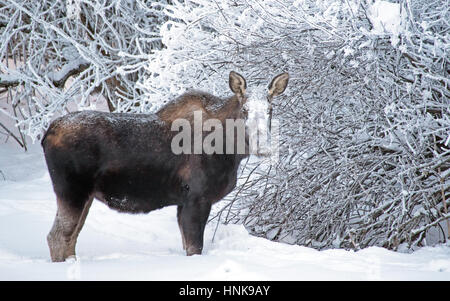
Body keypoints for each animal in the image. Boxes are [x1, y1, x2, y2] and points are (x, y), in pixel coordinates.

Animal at [41, 70, 288, 260]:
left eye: (270, 110)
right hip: (71, 191)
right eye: (245, 110)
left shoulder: (182, 202)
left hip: (86, 196)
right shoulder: (197, 197)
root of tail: (46, 134)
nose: (262, 146)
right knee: (57, 236)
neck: (231, 151)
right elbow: (195, 248)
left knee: (70, 237)